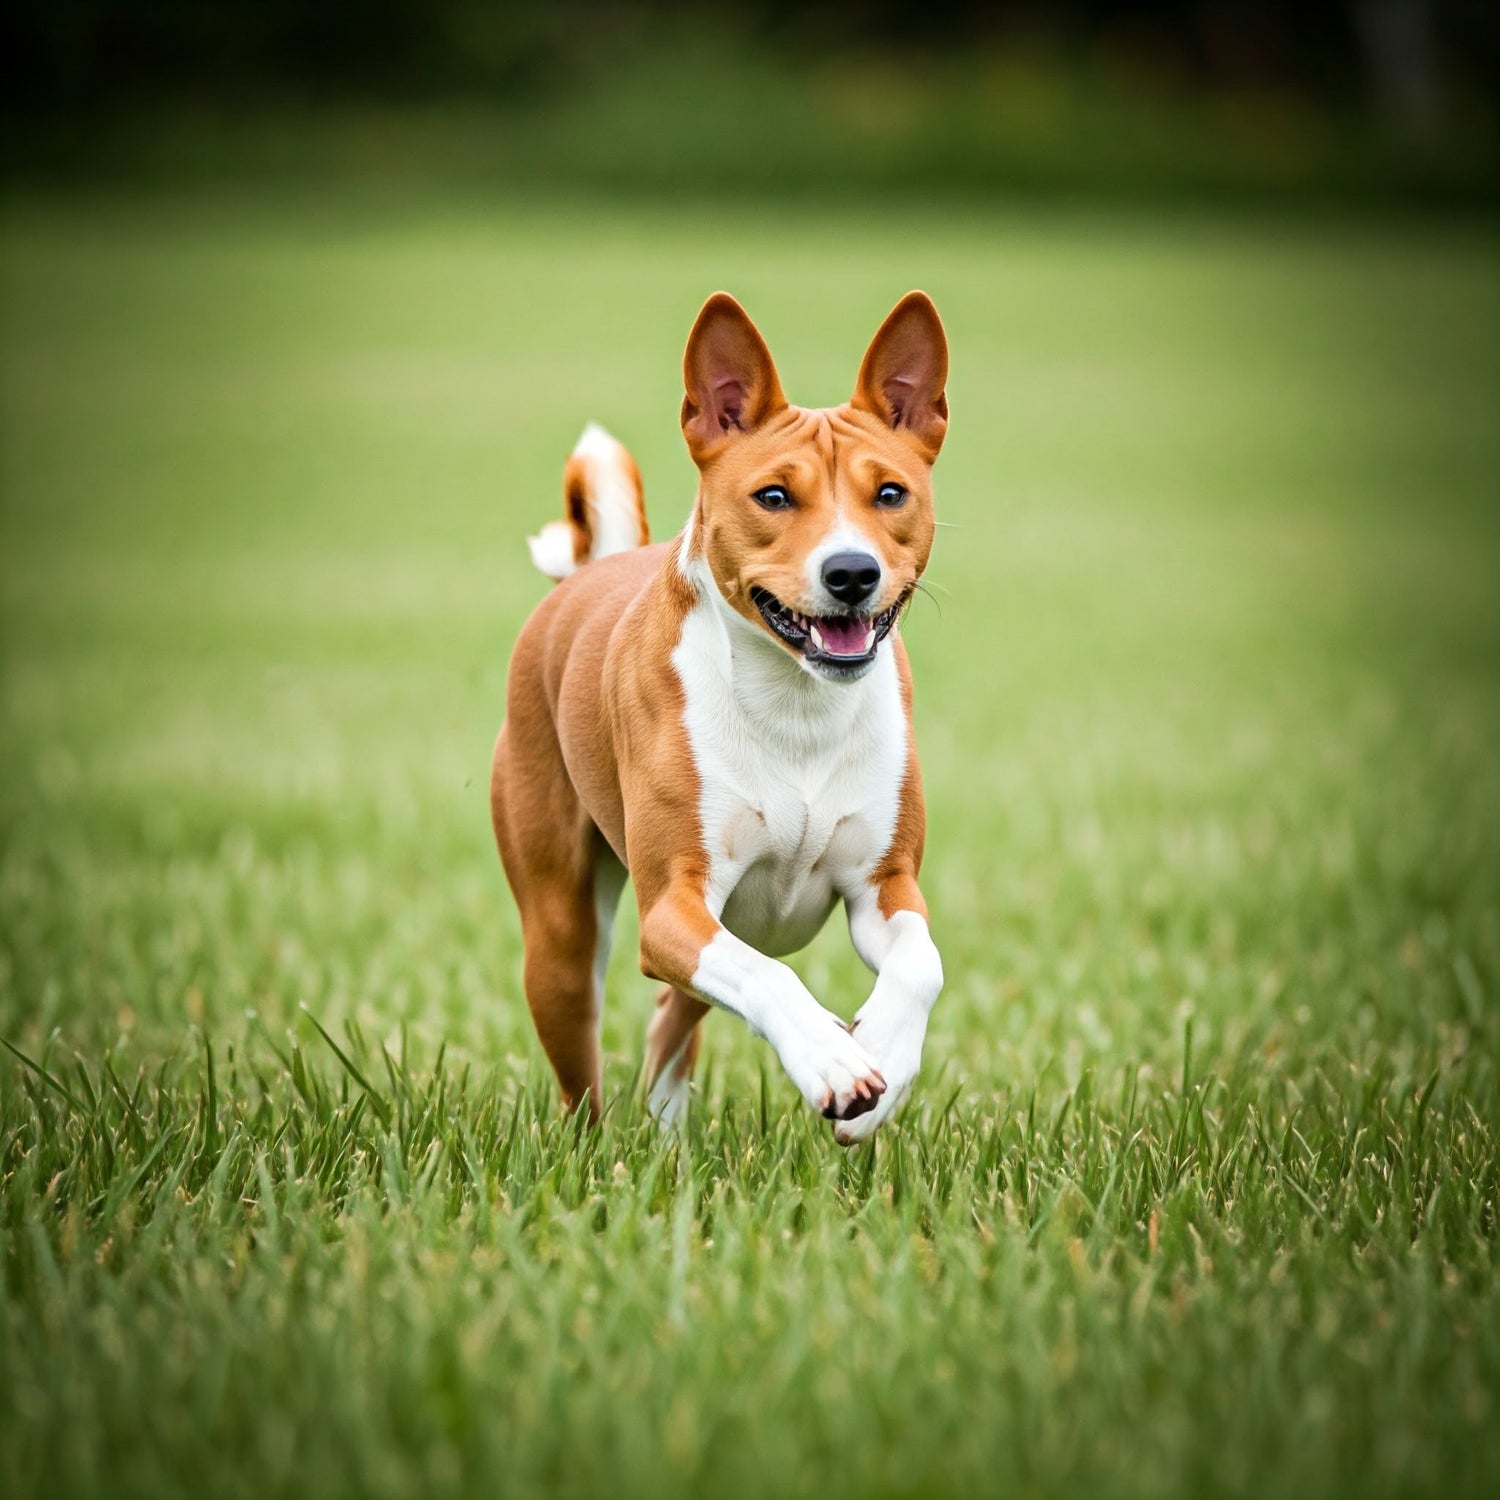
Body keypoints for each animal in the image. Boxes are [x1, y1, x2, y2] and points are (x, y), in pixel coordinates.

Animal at [495, 289, 948, 1134]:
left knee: (673, 1025)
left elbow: (920, 964)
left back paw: (669, 1139)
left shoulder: (885, 885)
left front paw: (883, 1057)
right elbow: (769, 979)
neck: (798, 706)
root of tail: (591, 570)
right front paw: (834, 1060)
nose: (851, 572)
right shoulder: (673, 905)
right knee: (586, 1080)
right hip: (563, 941)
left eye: (890, 494)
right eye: (773, 496)